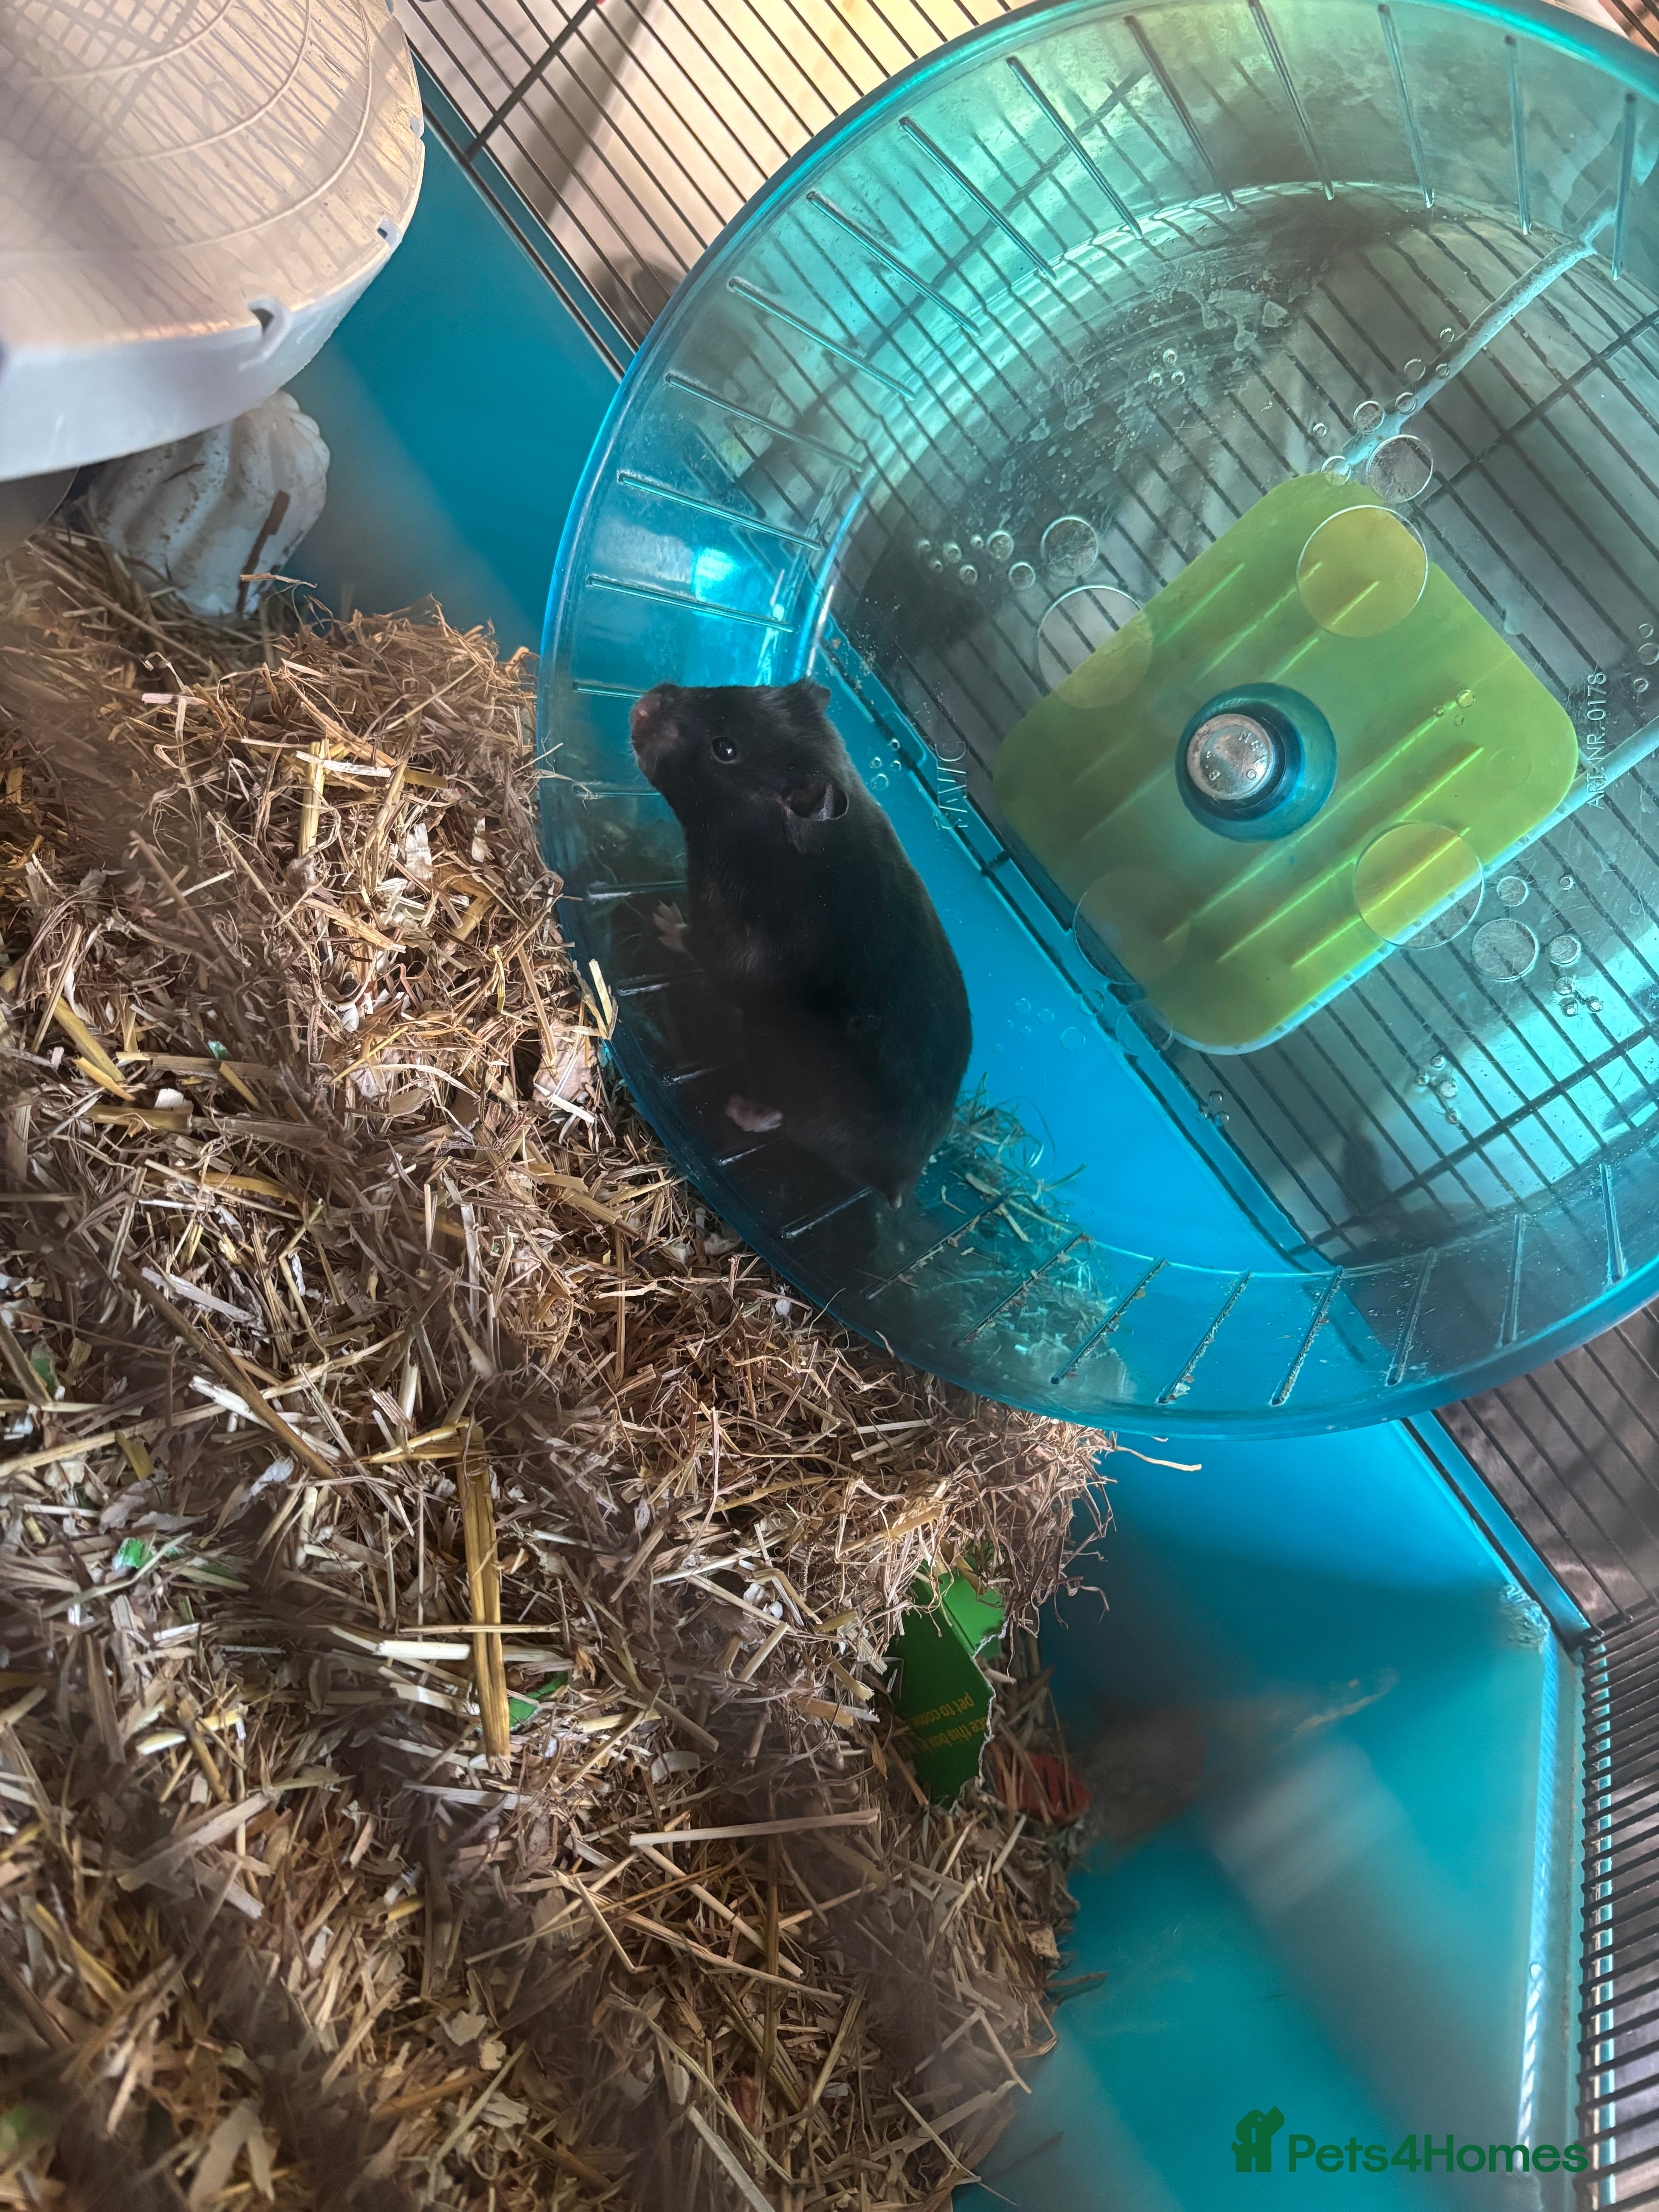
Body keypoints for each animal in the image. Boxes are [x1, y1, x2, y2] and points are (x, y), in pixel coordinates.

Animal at [630, 679, 972, 1208]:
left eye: (725, 749)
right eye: (736, 686)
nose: (643, 704)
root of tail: (902, 1180)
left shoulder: (730, 939)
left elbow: (700, 948)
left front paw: (664, 917)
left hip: (785, 1070)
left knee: (785, 1122)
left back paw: (738, 1108)